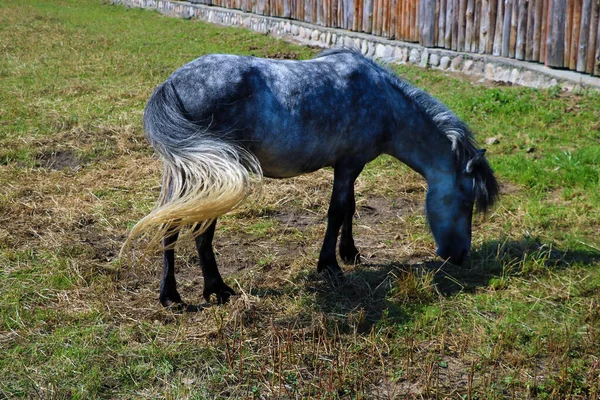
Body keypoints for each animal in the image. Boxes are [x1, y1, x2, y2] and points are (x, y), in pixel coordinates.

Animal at [124, 48, 500, 308]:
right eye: (466, 201)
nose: (460, 255)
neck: (385, 102)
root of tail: (173, 84)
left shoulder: (350, 165)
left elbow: (350, 208)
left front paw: (350, 253)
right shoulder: (348, 164)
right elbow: (337, 211)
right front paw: (329, 265)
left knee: (172, 224)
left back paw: (172, 294)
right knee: (197, 230)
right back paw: (214, 290)